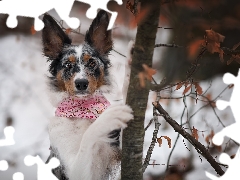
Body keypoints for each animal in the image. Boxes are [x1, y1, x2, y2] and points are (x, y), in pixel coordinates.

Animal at [43, 10, 133, 180]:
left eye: (91, 63)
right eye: (68, 65)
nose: (81, 83)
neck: (82, 110)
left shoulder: (117, 159)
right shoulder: (74, 170)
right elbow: (88, 138)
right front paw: (108, 117)